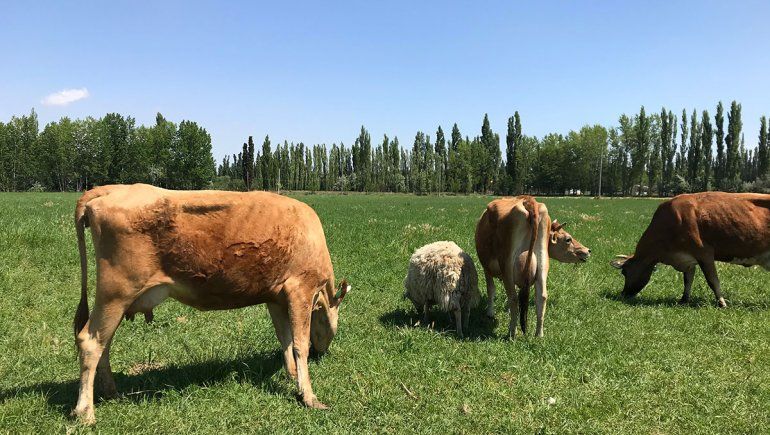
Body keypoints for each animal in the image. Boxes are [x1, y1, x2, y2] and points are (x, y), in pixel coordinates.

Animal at [72, 184, 349, 424]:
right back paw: (85, 412)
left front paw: (290, 375)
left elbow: (285, 338)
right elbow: (299, 343)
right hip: (116, 293)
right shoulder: (300, 289)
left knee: (104, 342)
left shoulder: (275, 297)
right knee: (91, 342)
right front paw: (309, 396)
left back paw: (111, 393)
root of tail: (113, 188)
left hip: (115, 301)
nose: (322, 353)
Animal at [475, 196, 591, 338]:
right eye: (568, 239)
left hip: (507, 264)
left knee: (513, 297)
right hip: (542, 263)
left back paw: (512, 333)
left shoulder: (486, 267)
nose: (587, 250)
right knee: (541, 296)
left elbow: (491, 289)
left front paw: (490, 313)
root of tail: (527, 200)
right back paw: (539, 334)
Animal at [611, 192, 770, 307]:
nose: (623, 294)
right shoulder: (687, 258)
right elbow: (688, 280)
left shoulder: (704, 253)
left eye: (624, 272)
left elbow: (712, 280)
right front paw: (683, 300)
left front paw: (721, 303)